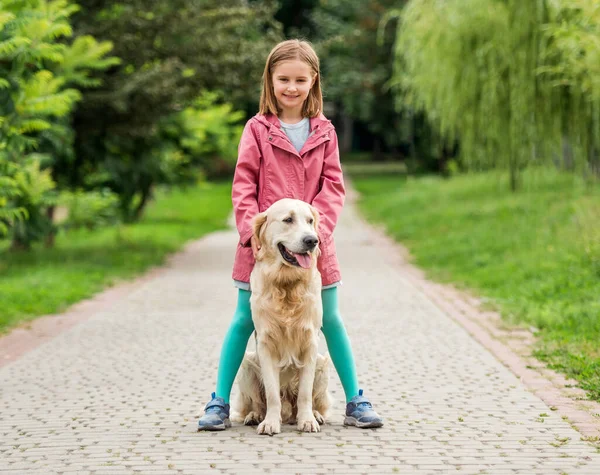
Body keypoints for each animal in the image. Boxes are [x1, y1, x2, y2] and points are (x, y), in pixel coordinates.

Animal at [231, 199, 332, 436]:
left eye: (310, 221)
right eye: (288, 220)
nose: (312, 240)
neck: (286, 284)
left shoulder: (310, 344)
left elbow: (304, 393)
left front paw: (307, 421)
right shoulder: (266, 344)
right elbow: (271, 393)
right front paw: (270, 422)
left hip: (322, 365)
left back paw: (315, 415)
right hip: (248, 365)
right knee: (259, 402)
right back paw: (255, 415)